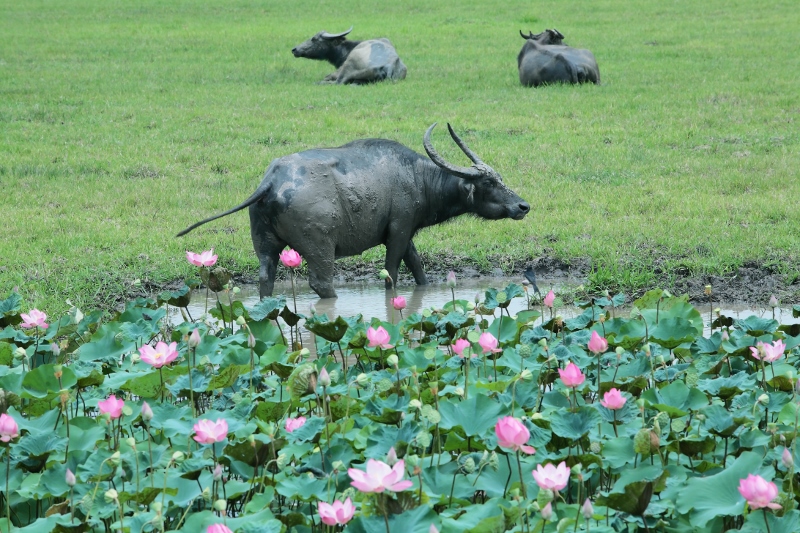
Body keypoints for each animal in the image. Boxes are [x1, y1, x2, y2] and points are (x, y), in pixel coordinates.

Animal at [180, 124, 532, 300]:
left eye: (499, 177)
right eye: (489, 182)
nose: (523, 205)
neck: (417, 177)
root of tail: (271, 181)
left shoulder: (405, 234)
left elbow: (418, 269)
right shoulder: (398, 232)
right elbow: (392, 273)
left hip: (265, 245)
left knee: (265, 279)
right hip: (319, 247)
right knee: (321, 283)